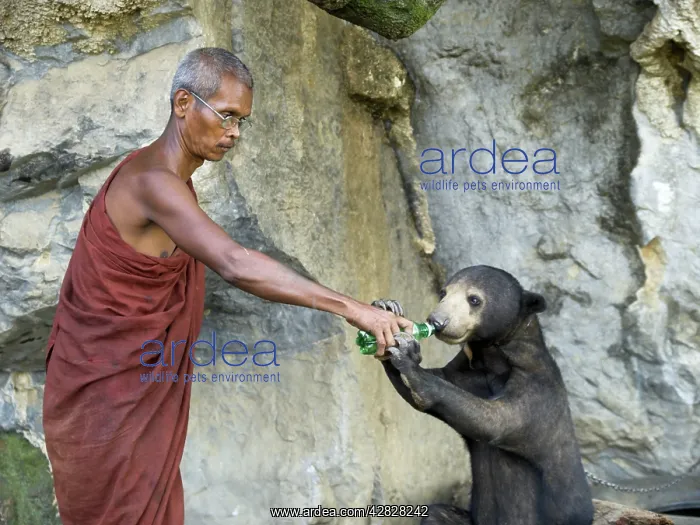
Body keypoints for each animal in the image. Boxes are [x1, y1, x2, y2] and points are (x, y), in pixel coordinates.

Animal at [372, 265, 594, 525]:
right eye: (443, 292)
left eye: (474, 299)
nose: (437, 321)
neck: (490, 360)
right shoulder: (466, 374)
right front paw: (387, 309)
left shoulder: (536, 384)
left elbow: (498, 420)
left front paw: (407, 358)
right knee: (437, 514)